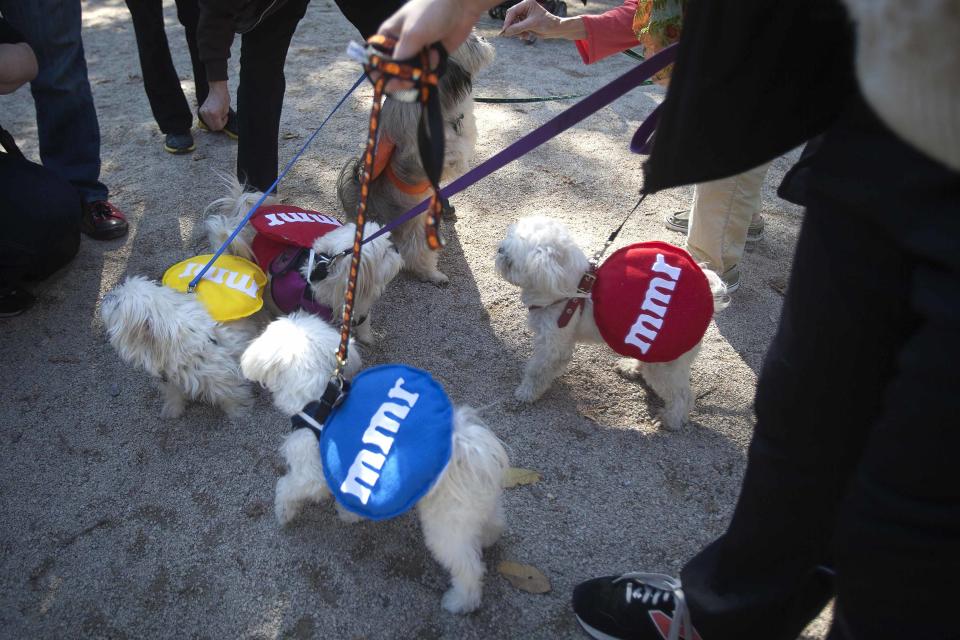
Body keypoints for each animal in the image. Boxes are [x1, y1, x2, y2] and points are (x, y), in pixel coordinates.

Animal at [101, 276, 258, 418]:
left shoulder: (223, 377)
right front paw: (173, 410)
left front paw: (238, 413)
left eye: (117, 304)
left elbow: (233, 396)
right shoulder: (169, 380)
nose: (105, 297)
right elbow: (174, 395)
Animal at [242, 312, 510, 612]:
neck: (320, 398)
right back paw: (489, 538)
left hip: (447, 525)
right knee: (493, 522)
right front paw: (349, 515)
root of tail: (467, 449)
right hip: (478, 507)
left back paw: (459, 602)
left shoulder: (311, 469)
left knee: (468, 568)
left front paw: (284, 512)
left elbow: (289, 487)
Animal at [338, 31, 498, 282]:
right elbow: (452, 152)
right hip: (417, 230)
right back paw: (433, 275)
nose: (482, 37)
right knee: (414, 255)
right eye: (470, 40)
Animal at [496, 215, 728, 430]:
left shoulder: (552, 345)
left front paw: (526, 393)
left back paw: (671, 420)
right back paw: (631, 367)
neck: (574, 290)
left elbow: (538, 370)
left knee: (683, 396)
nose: (499, 250)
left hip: (665, 366)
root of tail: (708, 300)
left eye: (510, 258)